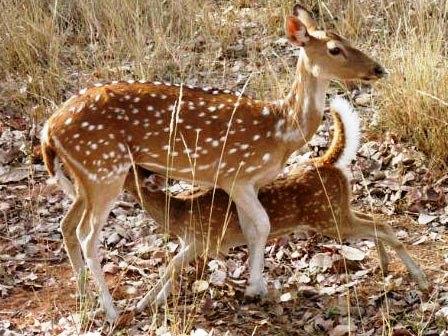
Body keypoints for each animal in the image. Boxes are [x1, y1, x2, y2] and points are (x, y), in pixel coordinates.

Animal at [40, 4, 386, 320]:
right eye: (334, 49)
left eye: (345, 39)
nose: (378, 69)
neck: (281, 132)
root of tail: (48, 131)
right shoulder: (237, 175)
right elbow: (262, 225)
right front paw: (255, 287)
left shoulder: (247, 183)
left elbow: (251, 228)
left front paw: (255, 286)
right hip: (104, 171)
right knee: (86, 235)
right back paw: (112, 311)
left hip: (86, 179)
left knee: (66, 225)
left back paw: (85, 299)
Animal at [125, 98, 428, 310]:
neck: (177, 213)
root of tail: (327, 162)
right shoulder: (193, 241)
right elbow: (173, 268)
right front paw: (153, 301)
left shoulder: (203, 238)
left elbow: (171, 266)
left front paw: (142, 303)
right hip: (339, 209)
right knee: (376, 220)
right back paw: (386, 264)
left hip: (328, 218)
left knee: (382, 225)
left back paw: (420, 277)